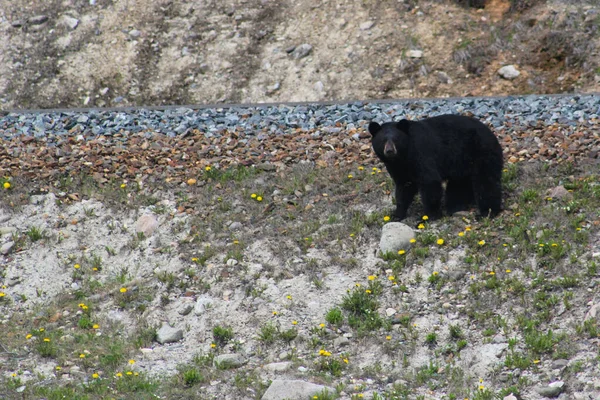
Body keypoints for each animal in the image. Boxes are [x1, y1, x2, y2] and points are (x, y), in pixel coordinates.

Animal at [368, 115, 504, 222]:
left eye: (396, 139)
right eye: (383, 140)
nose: (390, 151)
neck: (403, 157)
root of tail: (493, 135)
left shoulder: (421, 153)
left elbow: (430, 182)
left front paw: (428, 216)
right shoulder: (398, 167)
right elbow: (404, 187)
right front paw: (397, 214)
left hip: (482, 153)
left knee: (485, 182)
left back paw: (487, 212)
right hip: (463, 163)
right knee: (459, 185)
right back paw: (455, 207)